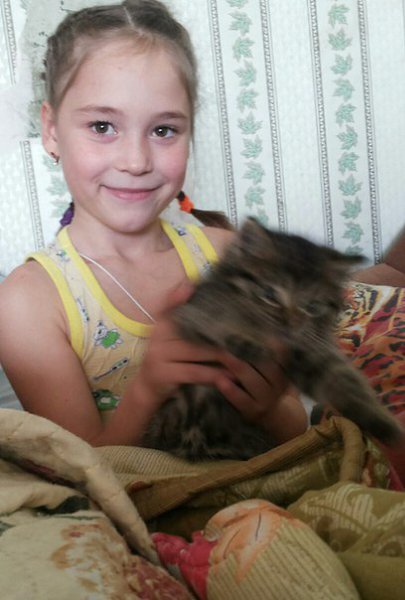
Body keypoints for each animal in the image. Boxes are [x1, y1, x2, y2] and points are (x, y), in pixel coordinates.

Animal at [142, 217, 403, 460]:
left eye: (312, 306)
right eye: (269, 294)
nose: (291, 323)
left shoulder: (311, 352)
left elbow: (346, 384)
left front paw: (388, 428)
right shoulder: (193, 313)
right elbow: (223, 318)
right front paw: (246, 339)